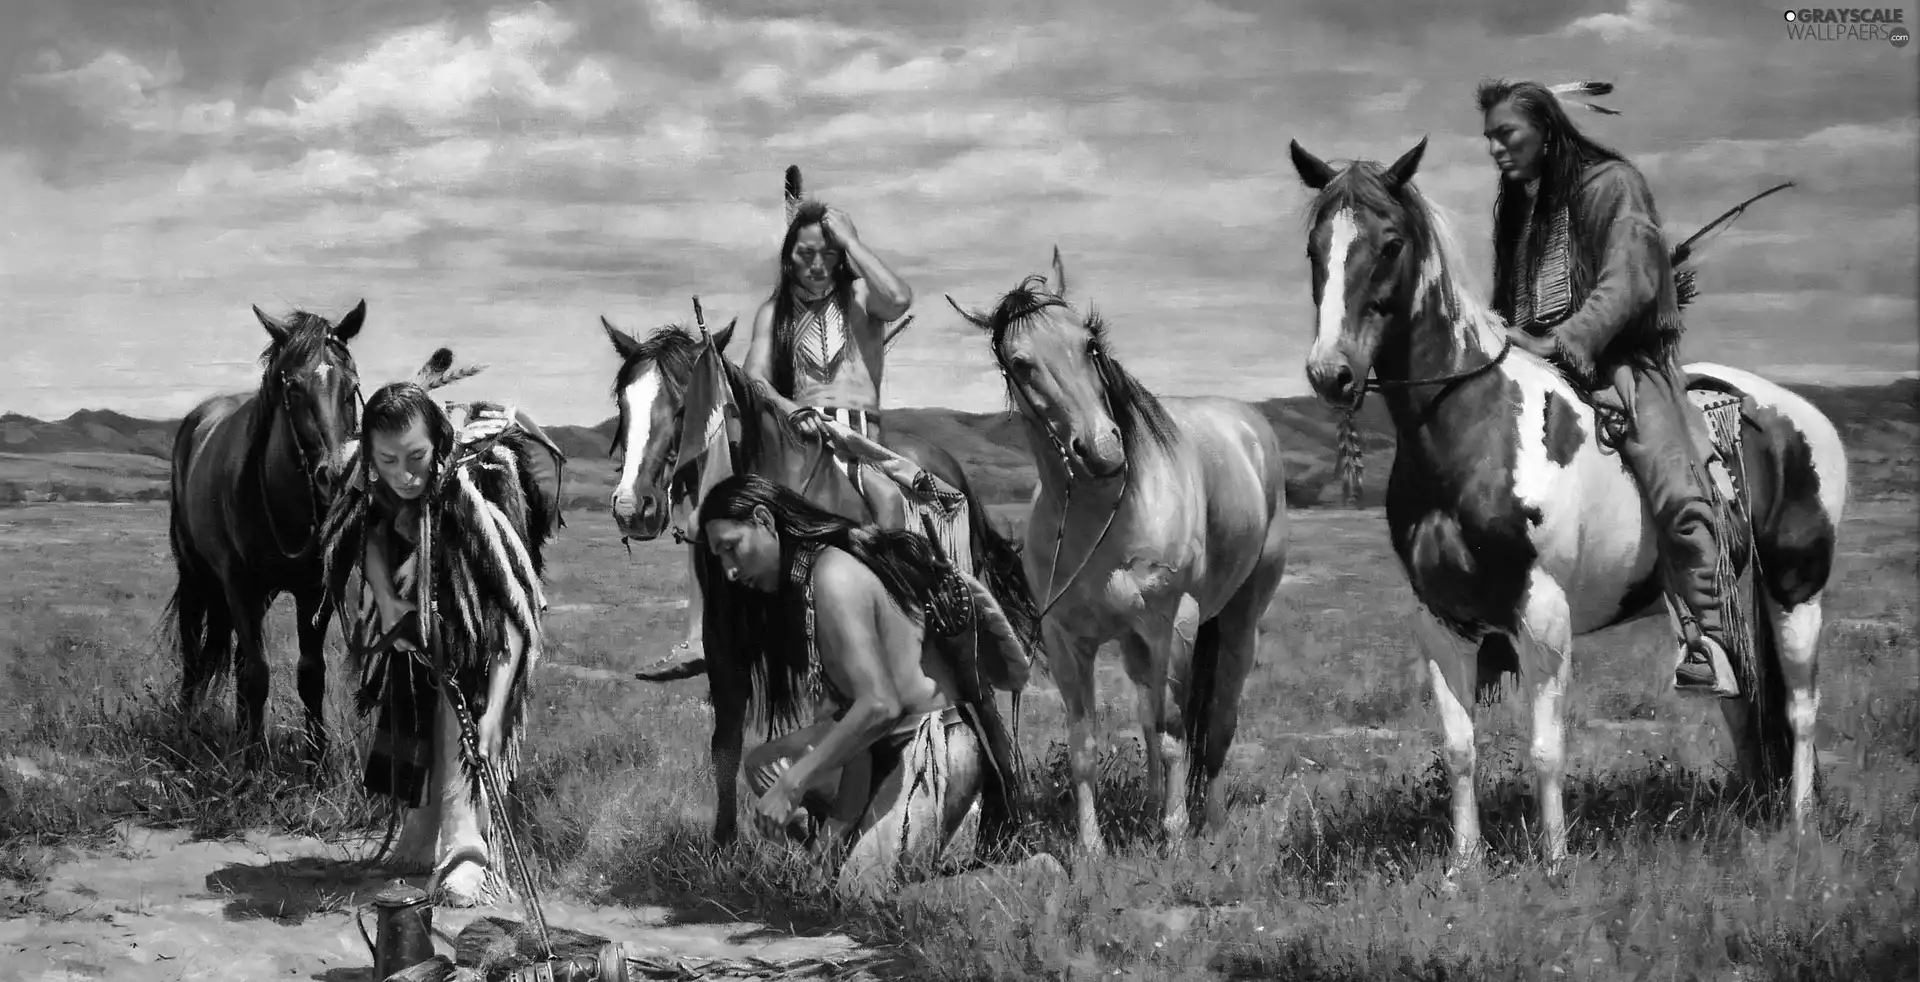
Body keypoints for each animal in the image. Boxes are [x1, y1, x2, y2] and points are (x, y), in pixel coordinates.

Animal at [165, 295, 366, 772]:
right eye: (292, 389)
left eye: (351, 387)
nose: (336, 476)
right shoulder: (238, 584)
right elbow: (256, 673)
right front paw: (253, 764)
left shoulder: (314, 591)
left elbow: (310, 674)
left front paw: (315, 763)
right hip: (197, 577)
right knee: (194, 656)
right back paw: (187, 728)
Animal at [602, 315, 1044, 845]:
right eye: (623, 403)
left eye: (686, 404)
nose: (632, 508)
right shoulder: (727, 645)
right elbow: (726, 744)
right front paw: (726, 843)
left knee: (982, 699)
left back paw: (1012, 817)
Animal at [940, 249, 1290, 857]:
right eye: (1020, 363)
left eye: (1090, 343)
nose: (1103, 451)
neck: (1107, 512)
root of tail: (1251, 429)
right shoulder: (1068, 643)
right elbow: (1086, 743)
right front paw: (1091, 847)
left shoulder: (1172, 625)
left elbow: (1174, 732)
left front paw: (1174, 837)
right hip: (1133, 642)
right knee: (1149, 714)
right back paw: (1152, 810)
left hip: (1236, 618)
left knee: (1217, 719)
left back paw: (1211, 823)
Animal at [1282, 140, 1850, 868]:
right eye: (1315, 247)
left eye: (1389, 243)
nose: (1332, 374)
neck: (1472, 425)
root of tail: (1801, 414)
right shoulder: (1440, 620)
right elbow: (1460, 749)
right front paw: (1463, 867)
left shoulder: (1543, 614)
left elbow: (1546, 748)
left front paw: (1553, 863)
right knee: (1738, 697)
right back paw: (1751, 813)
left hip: (1796, 584)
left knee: (1800, 707)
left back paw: (1799, 824)